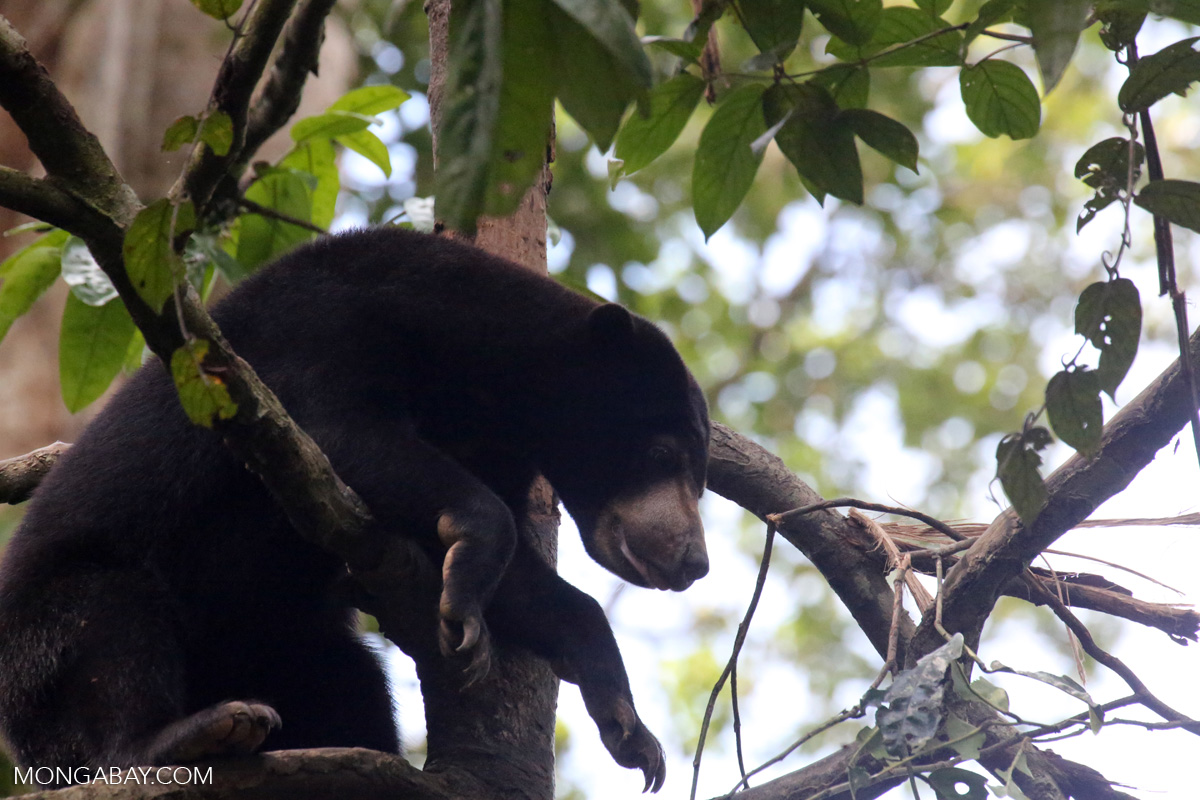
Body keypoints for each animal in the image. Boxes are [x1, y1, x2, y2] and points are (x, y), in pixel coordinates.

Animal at [0, 227, 710, 791]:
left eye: (700, 474)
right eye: (662, 452)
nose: (694, 561)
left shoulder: (495, 448)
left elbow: (524, 586)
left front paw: (631, 732)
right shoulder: (315, 330)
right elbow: (335, 435)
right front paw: (468, 605)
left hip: (286, 646)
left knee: (352, 683)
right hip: (47, 644)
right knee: (110, 628)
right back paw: (194, 733)